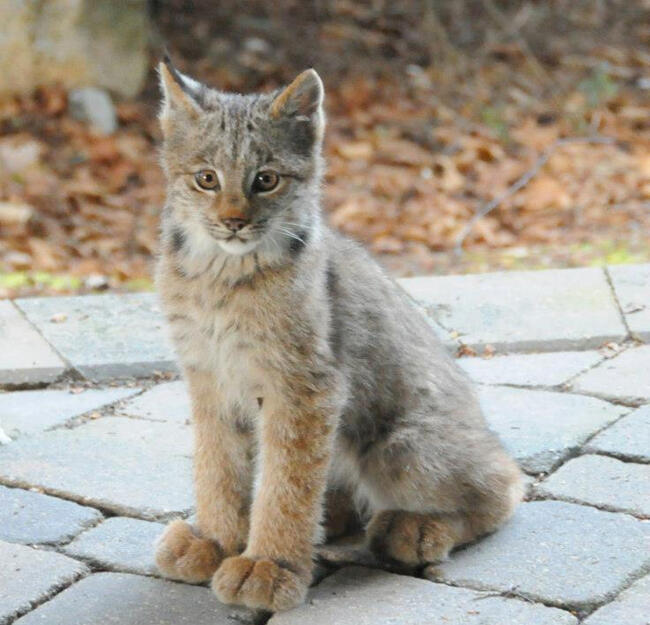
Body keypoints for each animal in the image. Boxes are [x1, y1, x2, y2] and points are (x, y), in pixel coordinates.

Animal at [153, 58, 520, 608]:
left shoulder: (304, 385)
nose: (233, 222)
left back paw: (414, 529)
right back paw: (337, 518)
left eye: (266, 180)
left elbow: (285, 481)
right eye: (206, 179)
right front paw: (216, 541)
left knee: (507, 482)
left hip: (401, 446)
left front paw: (267, 565)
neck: (220, 273)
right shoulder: (209, 374)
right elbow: (218, 462)